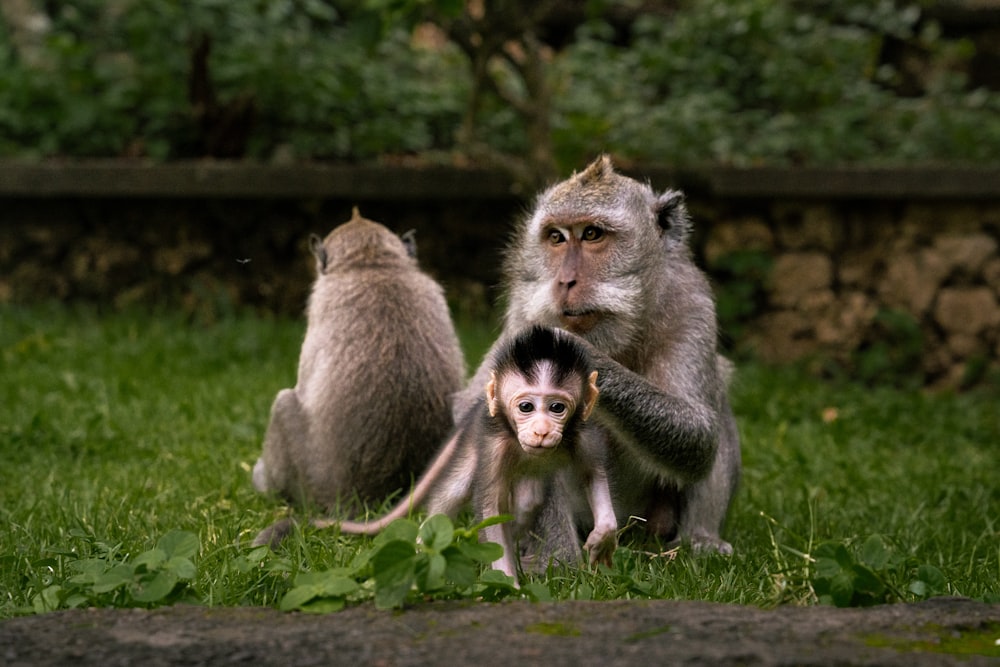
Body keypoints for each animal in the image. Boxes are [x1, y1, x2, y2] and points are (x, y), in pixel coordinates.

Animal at [254, 324, 612, 584]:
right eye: (526, 407)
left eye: (556, 408)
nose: (541, 431)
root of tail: (479, 407)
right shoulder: (495, 447)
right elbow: (489, 508)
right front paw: (508, 583)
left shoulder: (583, 434)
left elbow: (593, 474)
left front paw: (603, 535)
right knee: (452, 495)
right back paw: (422, 551)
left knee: (528, 500)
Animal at [456, 157, 744, 560]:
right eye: (557, 238)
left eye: (592, 234)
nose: (565, 282)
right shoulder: (523, 315)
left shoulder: (692, 304)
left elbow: (699, 432)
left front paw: (582, 355)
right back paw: (557, 558)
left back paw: (700, 539)